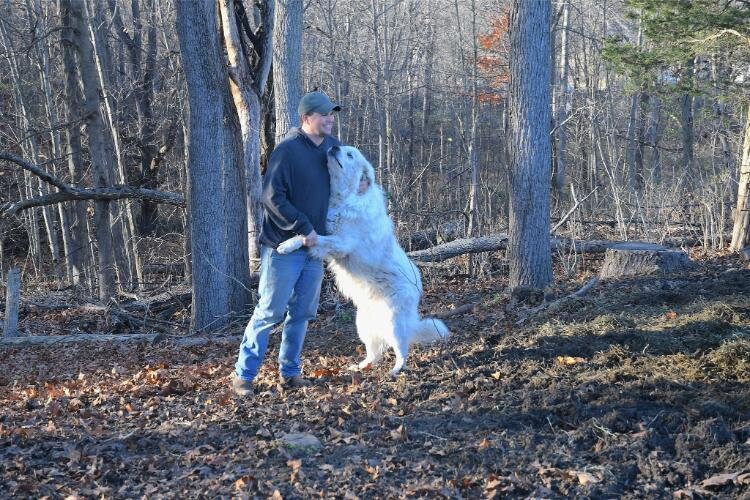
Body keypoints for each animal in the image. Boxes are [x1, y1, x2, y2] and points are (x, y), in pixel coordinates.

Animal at [280, 145, 450, 376]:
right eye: (342, 147)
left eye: (350, 154)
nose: (333, 146)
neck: (348, 197)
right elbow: (310, 235)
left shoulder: (342, 243)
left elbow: (309, 237)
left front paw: (286, 245)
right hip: (362, 324)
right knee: (374, 353)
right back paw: (360, 366)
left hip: (394, 324)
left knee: (402, 348)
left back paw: (396, 370)